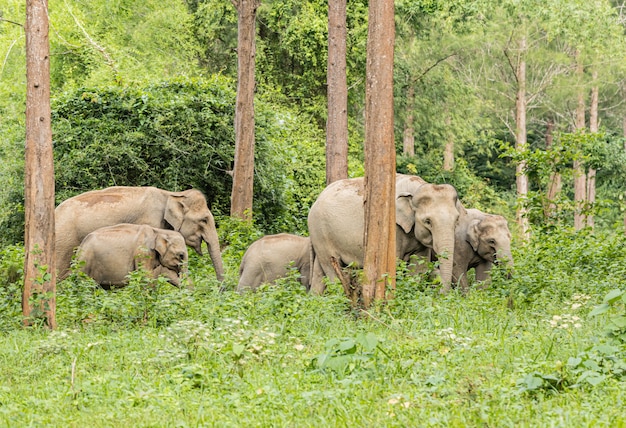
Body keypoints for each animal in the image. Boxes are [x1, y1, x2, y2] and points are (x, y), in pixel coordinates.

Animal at [308, 174, 464, 294]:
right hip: (320, 233)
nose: (441, 294)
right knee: (331, 270)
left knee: (319, 273)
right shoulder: (393, 227)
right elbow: (394, 262)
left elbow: (419, 266)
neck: (416, 188)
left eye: (457, 219)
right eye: (428, 221)